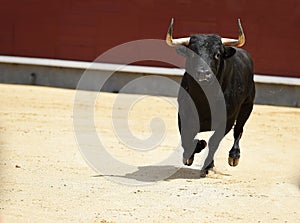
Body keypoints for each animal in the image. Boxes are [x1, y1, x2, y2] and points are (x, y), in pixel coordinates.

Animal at [168, 20, 254, 178]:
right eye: (192, 54)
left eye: (217, 54)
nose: (203, 74)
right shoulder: (183, 115)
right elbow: (186, 138)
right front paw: (192, 153)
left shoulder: (227, 120)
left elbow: (214, 141)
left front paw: (207, 166)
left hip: (247, 106)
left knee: (238, 130)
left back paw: (234, 156)